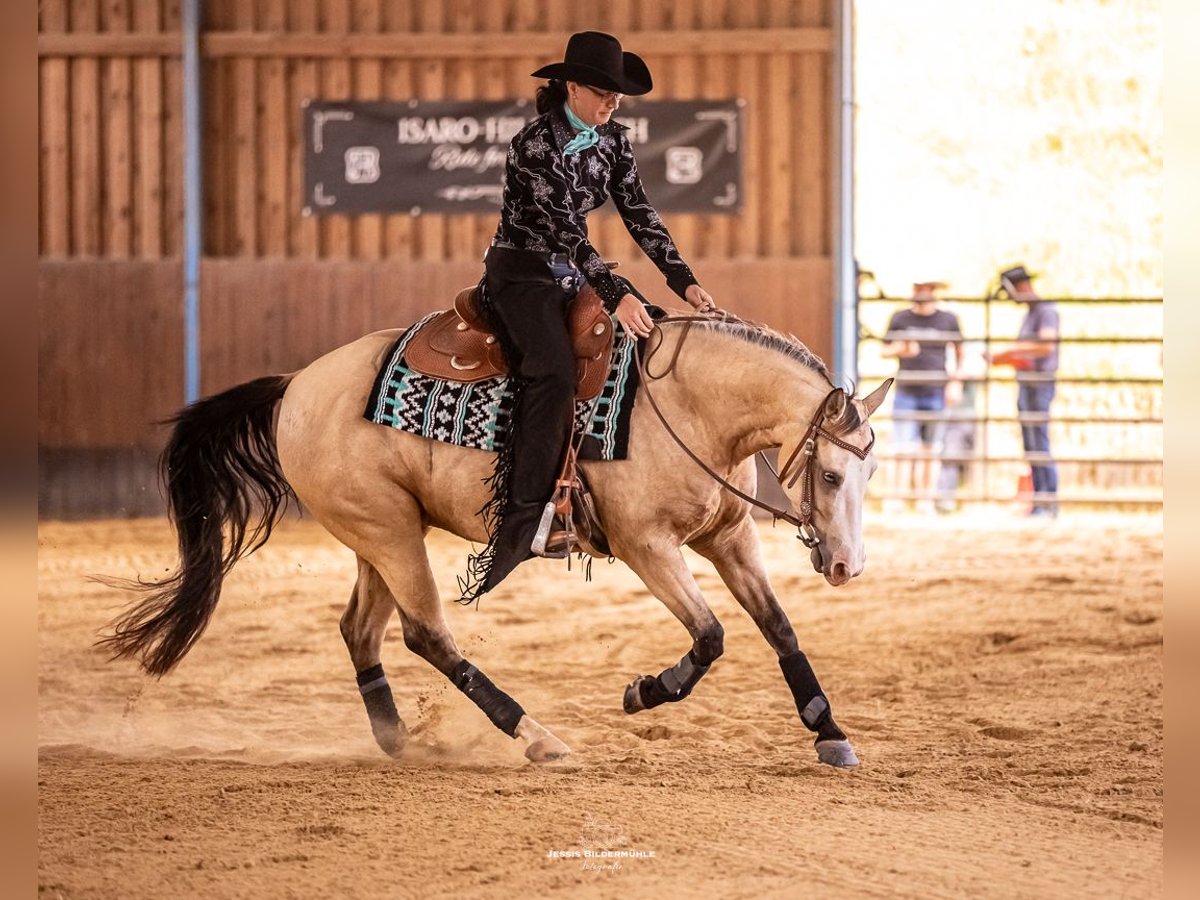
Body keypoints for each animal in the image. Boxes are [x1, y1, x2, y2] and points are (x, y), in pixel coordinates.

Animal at [101, 312, 891, 769]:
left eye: (870, 469)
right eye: (828, 474)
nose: (846, 565)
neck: (687, 404)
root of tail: (296, 384)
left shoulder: (728, 536)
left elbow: (778, 629)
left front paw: (829, 731)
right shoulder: (647, 547)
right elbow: (710, 636)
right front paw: (644, 691)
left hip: (377, 533)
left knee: (360, 630)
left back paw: (399, 740)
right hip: (390, 534)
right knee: (427, 634)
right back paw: (536, 736)